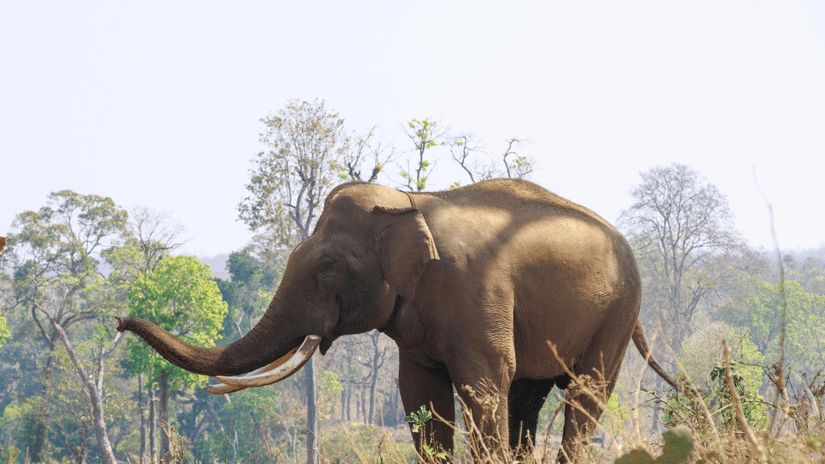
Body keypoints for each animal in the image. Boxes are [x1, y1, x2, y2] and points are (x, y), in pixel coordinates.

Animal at [116, 178, 678, 462]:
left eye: (327, 266)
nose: (120, 320)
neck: (407, 202)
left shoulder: (476, 293)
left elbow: (482, 386)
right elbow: (420, 393)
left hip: (618, 310)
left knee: (586, 393)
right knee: (527, 396)